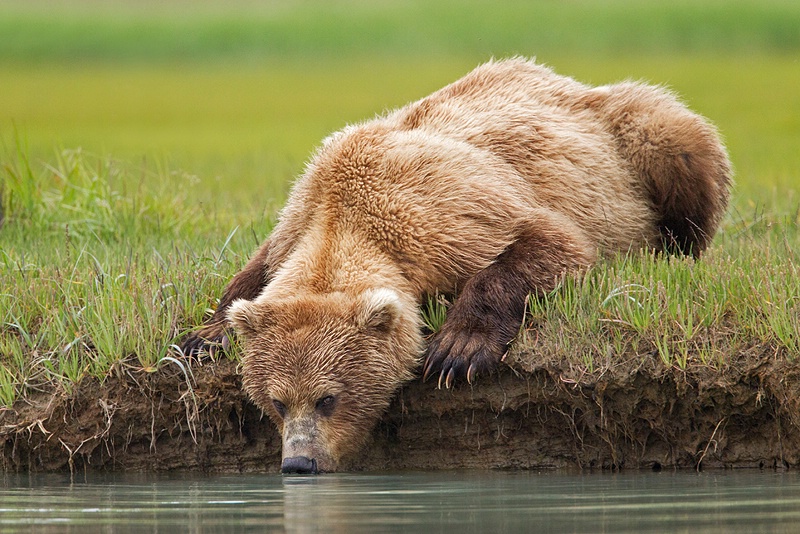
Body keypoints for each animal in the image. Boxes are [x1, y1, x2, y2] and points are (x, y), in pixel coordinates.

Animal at [181, 58, 732, 476]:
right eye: (276, 402)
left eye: (327, 398)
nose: (299, 463)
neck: (346, 222)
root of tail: (563, 79)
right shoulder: (297, 219)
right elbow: (253, 273)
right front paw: (202, 338)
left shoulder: (443, 214)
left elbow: (549, 243)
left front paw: (456, 351)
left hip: (628, 139)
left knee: (677, 142)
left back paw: (673, 249)